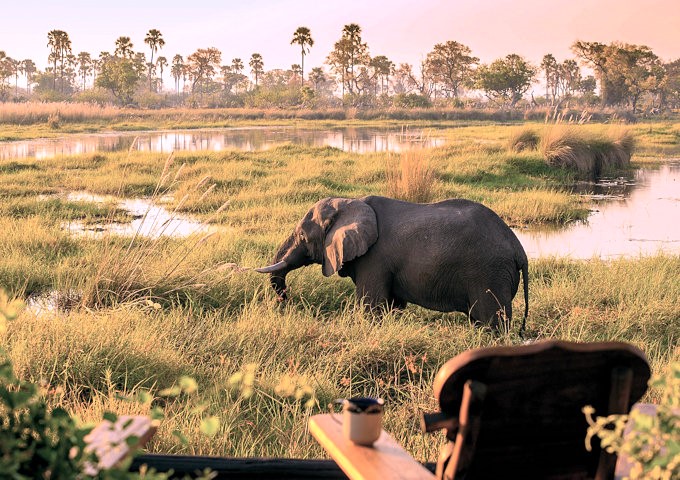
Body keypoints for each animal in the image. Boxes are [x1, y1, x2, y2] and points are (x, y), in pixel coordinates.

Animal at [258, 197, 528, 332]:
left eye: (303, 237)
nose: (285, 299)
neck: (350, 203)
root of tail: (518, 247)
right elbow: (391, 305)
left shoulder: (375, 258)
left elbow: (371, 305)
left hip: (489, 273)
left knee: (492, 323)